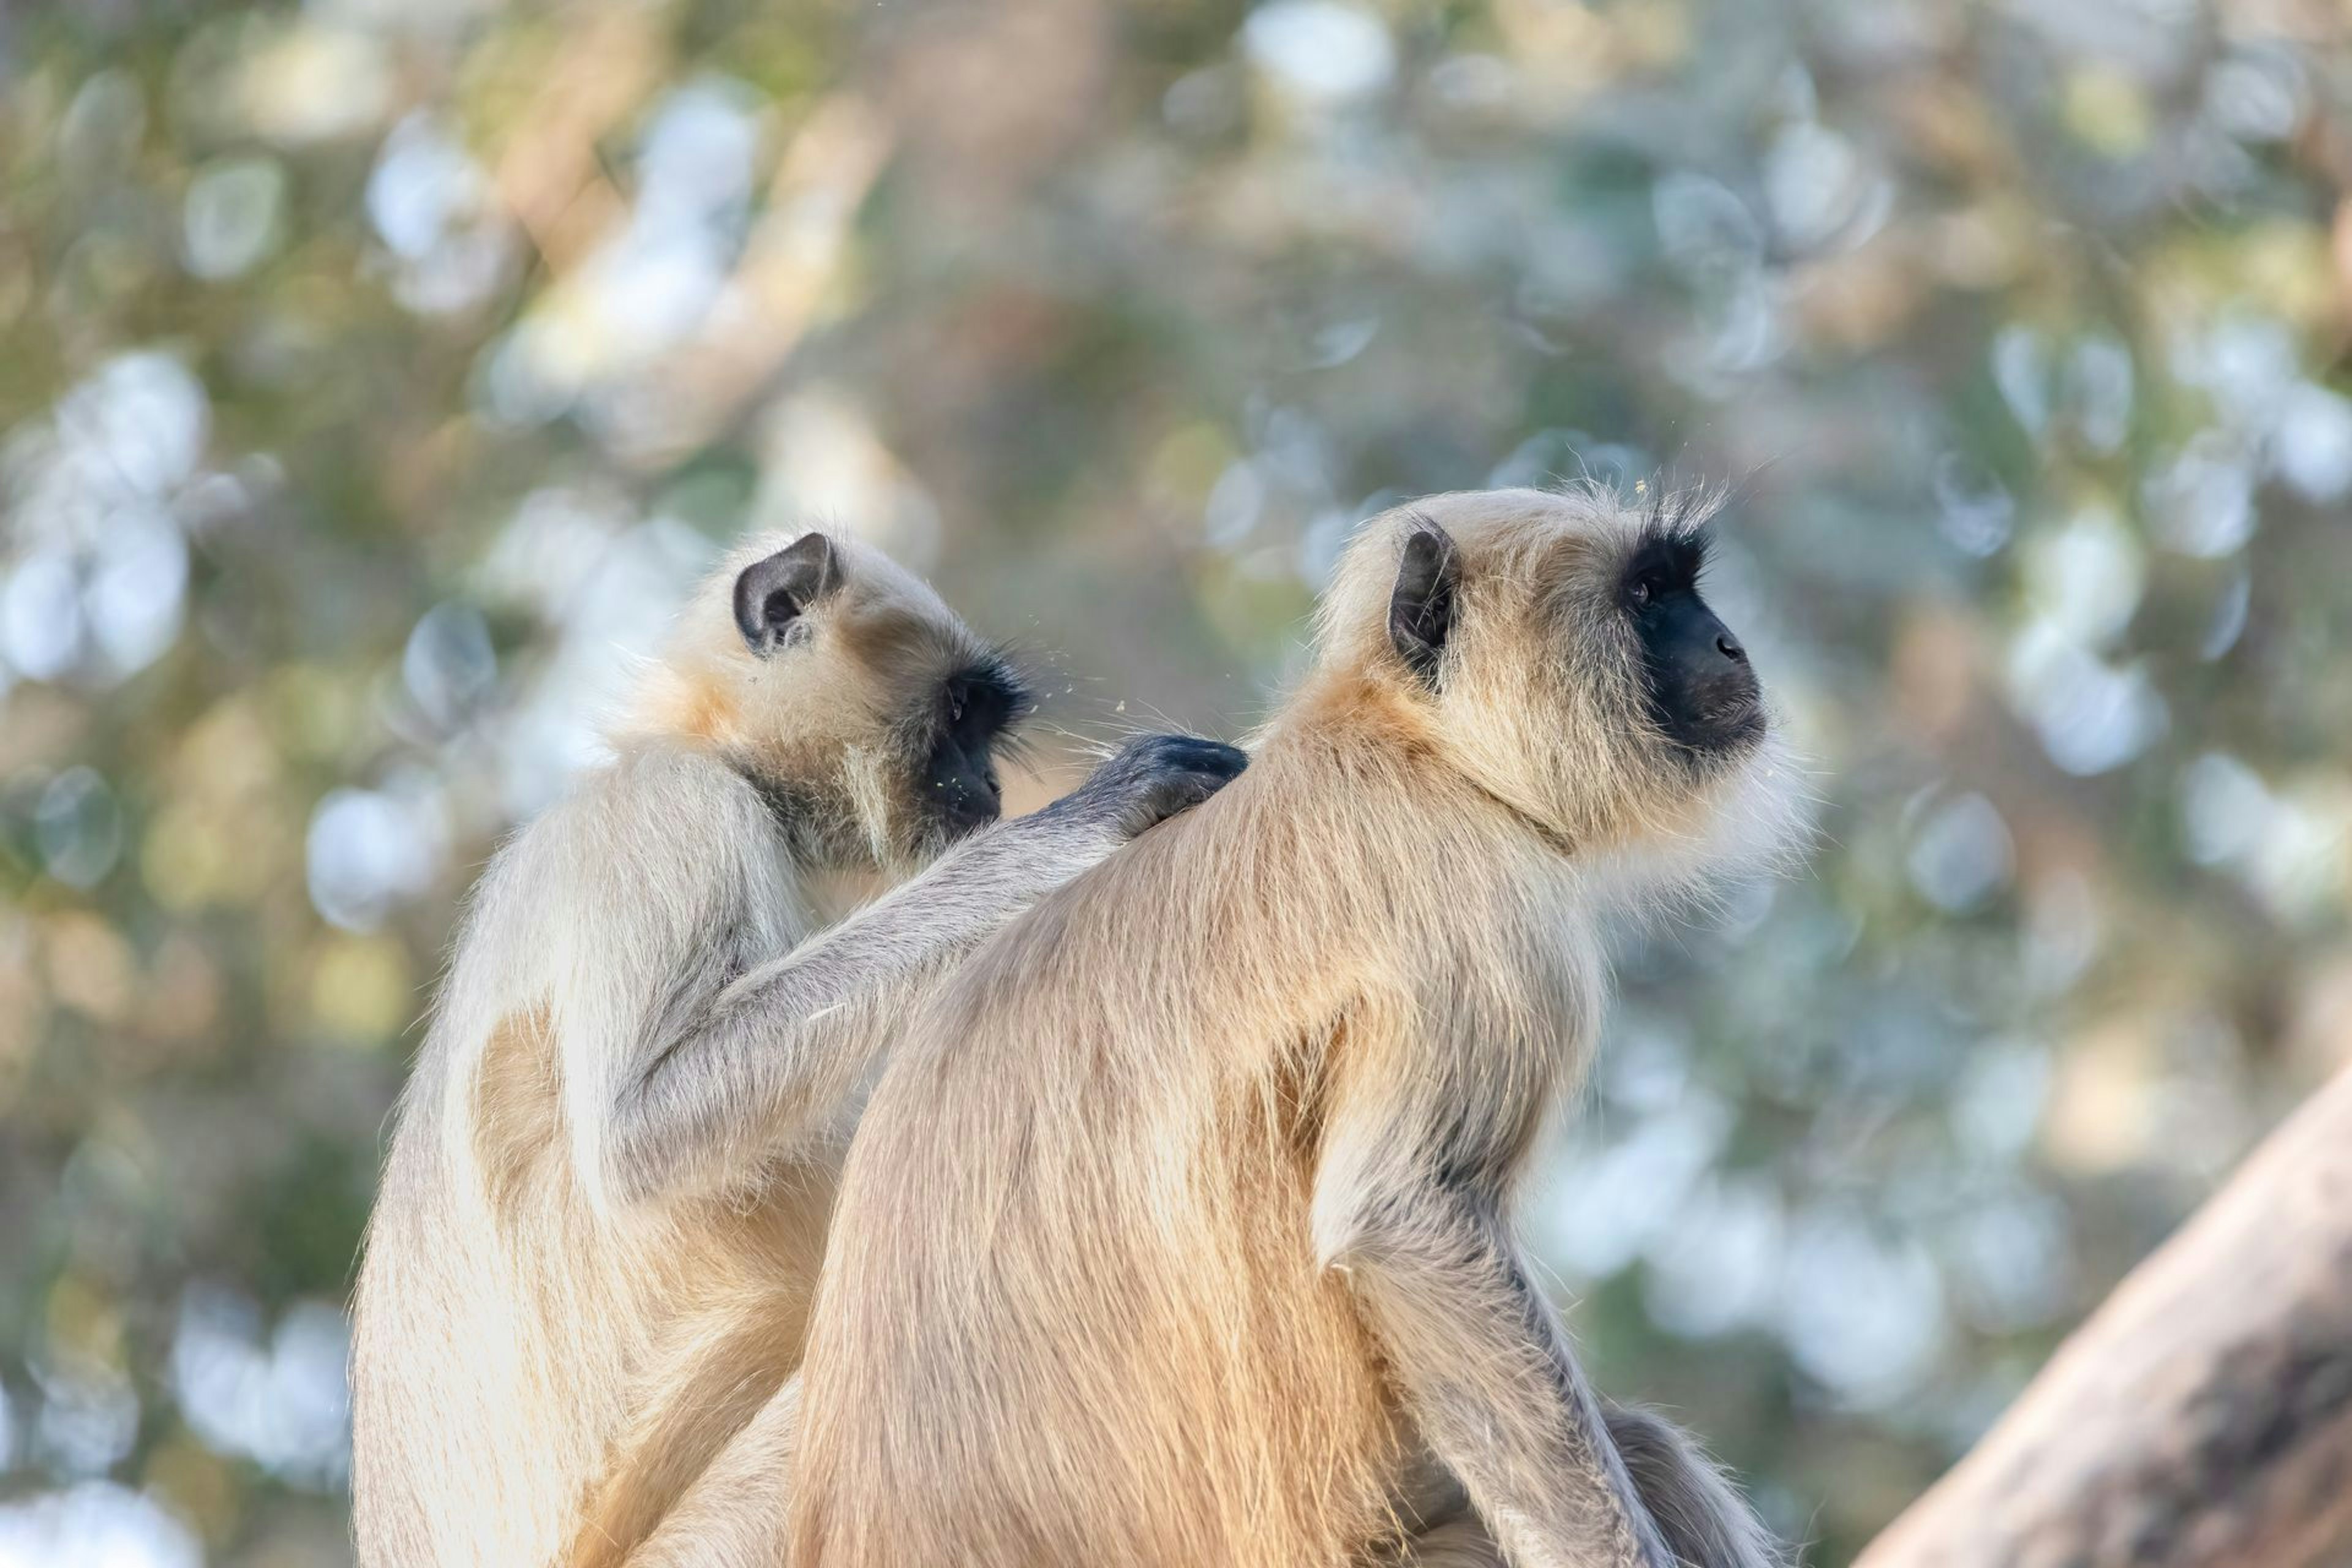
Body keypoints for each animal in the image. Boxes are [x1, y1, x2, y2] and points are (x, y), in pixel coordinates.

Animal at [348, 531, 1251, 1568]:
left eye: (986, 729)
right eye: (959, 715)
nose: (988, 785)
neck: (707, 750)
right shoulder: (672, 811)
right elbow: (637, 1130)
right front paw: (1076, 827)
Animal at [780, 491, 1787, 1568]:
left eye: (1681, 589)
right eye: (1647, 595)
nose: (1730, 644)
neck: (1406, 747)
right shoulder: (1473, 888)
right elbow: (1406, 1224)